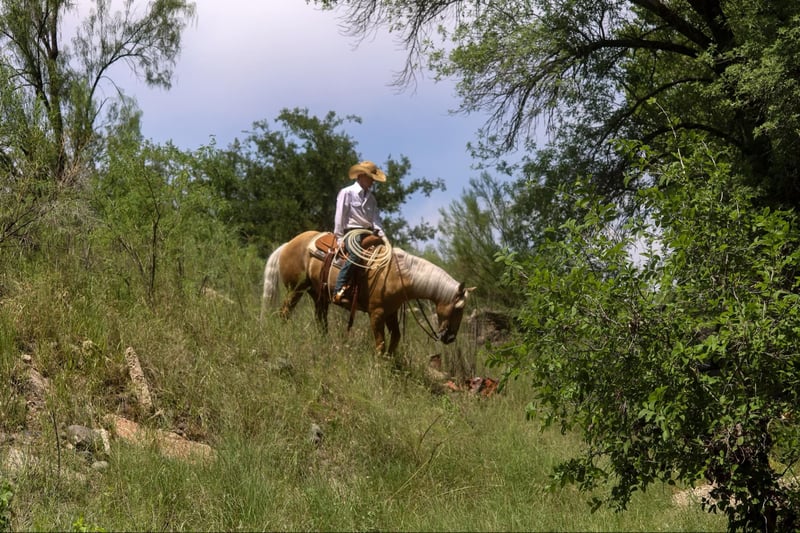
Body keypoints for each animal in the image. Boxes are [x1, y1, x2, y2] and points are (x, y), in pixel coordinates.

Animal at [261, 230, 475, 354]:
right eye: (458, 308)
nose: (450, 338)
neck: (397, 275)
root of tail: (288, 244)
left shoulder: (390, 313)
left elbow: (395, 338)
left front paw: (391, 363)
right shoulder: (377, 314)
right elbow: (380, 343)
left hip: (318, 295)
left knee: (321, 321)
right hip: (296, 290)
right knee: (285, 313)